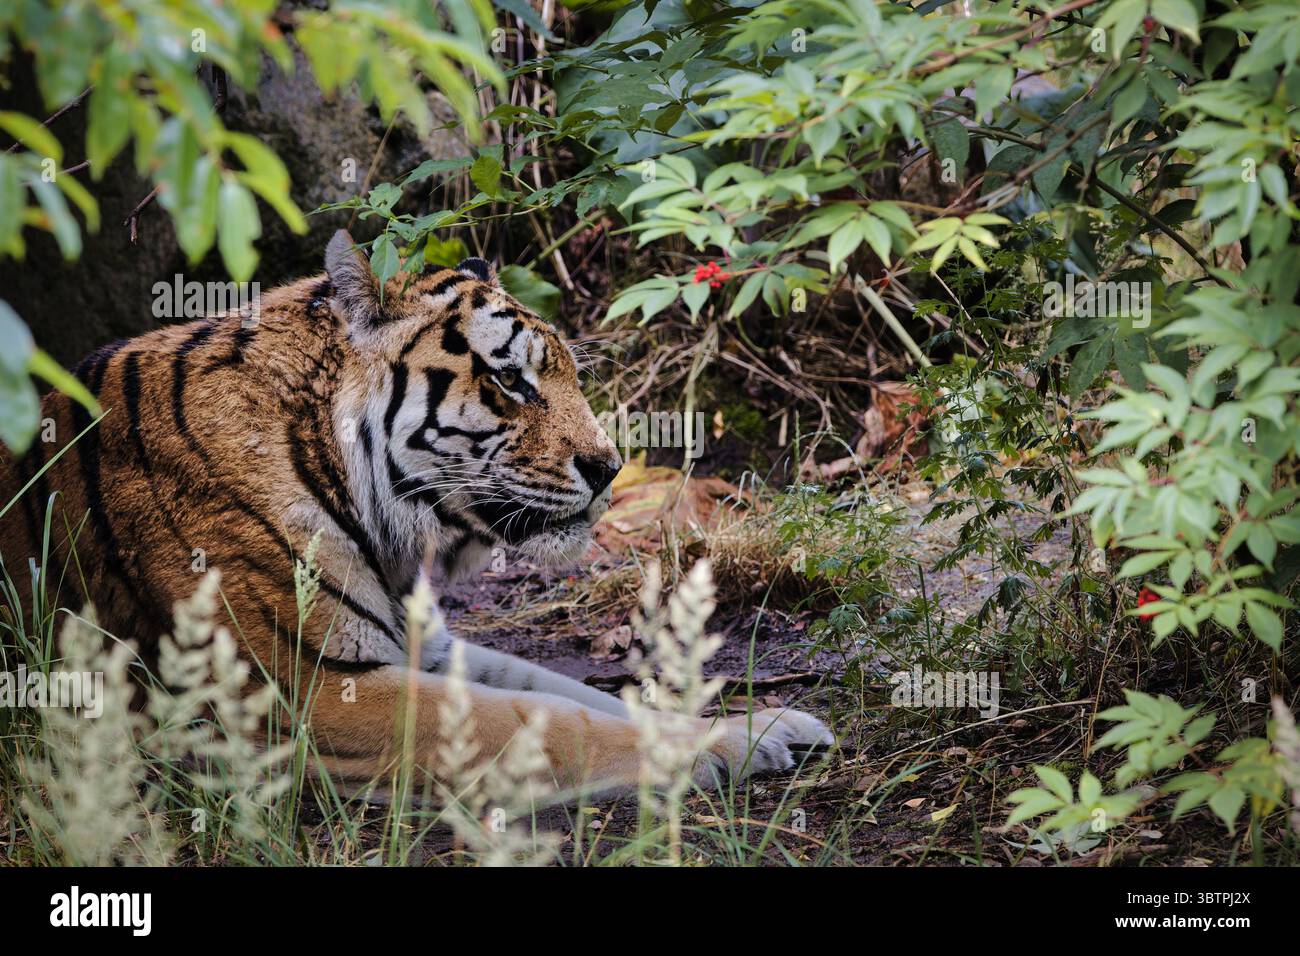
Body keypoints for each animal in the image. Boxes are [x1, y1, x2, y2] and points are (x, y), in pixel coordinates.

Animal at [0, 228, 832, 793]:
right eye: (511, 380)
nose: (608, 469)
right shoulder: (305, 691)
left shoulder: (419, 646)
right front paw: (719, 749)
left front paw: (763, 724)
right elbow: (550, 718)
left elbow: (582, 693)